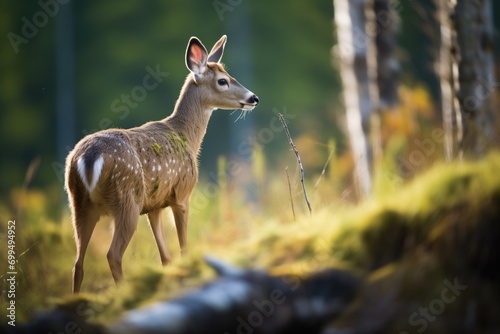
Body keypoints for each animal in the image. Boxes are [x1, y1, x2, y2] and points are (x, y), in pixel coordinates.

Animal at [65, 34, 260, 292]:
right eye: (223, 81)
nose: (253, 98)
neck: (187, 137)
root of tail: (88, 158)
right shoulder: (182, 194)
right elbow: (183, 249)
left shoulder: (154, 204)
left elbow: (165, 257)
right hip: (126, 198)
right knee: (112, 255)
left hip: (78, 202)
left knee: (78, 263)